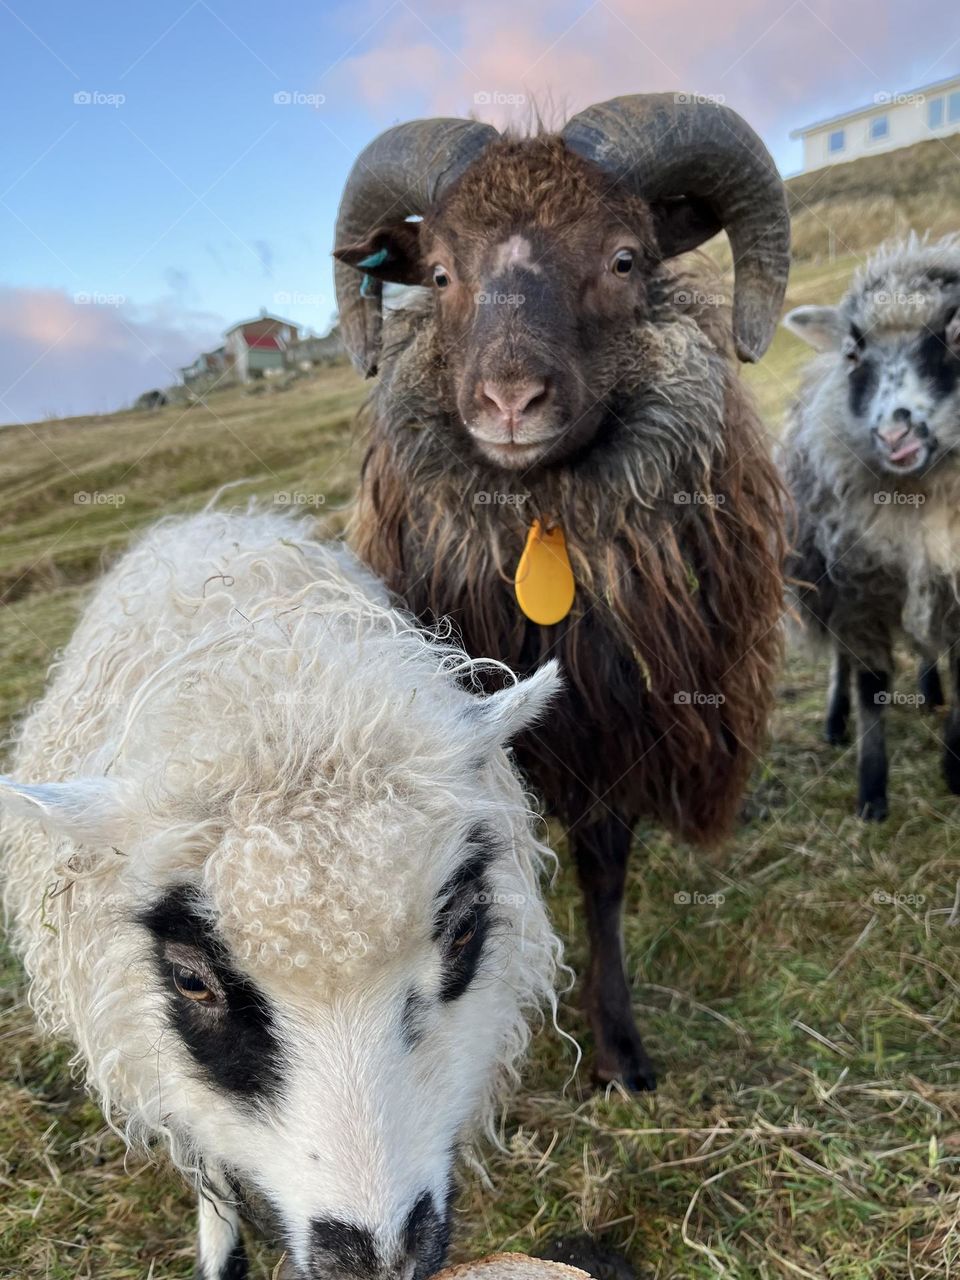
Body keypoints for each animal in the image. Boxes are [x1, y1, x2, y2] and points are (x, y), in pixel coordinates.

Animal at [0, 508, 563, 1280]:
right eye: (191, 980)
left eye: (461, 930)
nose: (378, 1260)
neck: (267, 680)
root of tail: (210, 517)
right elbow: (204, 1157)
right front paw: (219, 1249)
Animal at [331, 93, 790, 1091]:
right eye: (439, 272)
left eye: (624, 259)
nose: (509, 402)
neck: (540, 519)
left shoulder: (613, 721)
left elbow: (603, 869)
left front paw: (617, 1046)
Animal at [781, 234, 960, 820]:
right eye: (853, 352)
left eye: (957, 330)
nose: (893, 433)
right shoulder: (859, 586)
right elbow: (872, 682)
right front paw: (872, 793)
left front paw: (955, 767)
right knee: (842, 658)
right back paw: (836, 720)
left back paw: (931, 691)